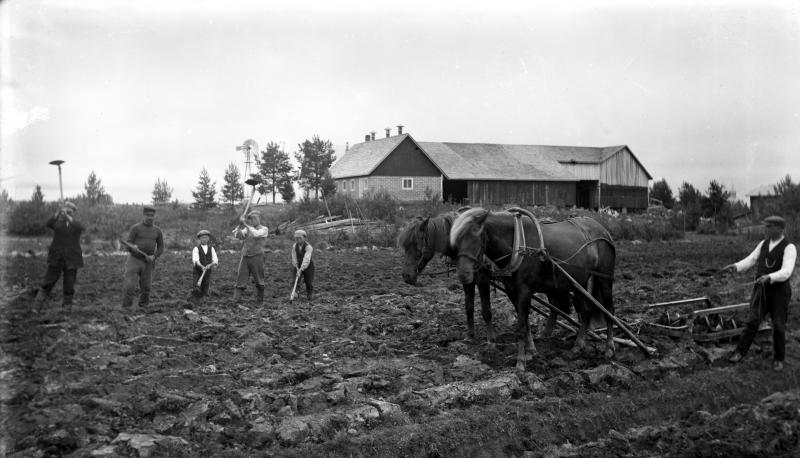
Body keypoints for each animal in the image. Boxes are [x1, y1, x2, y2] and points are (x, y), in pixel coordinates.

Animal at [450, 207, 616, 371]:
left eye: (475, 238)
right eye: (455, 239)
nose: (463, 274)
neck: (518, 245)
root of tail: (603, 229)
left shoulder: (525, 291)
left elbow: (521, 327)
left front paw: (520, 362)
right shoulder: (512, 291)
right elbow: (526, 324)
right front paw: (531, 351)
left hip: (604, 278)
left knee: (609, 310)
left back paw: (609, 348)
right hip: (578, 283)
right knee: (586, 311)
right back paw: (578, 345)